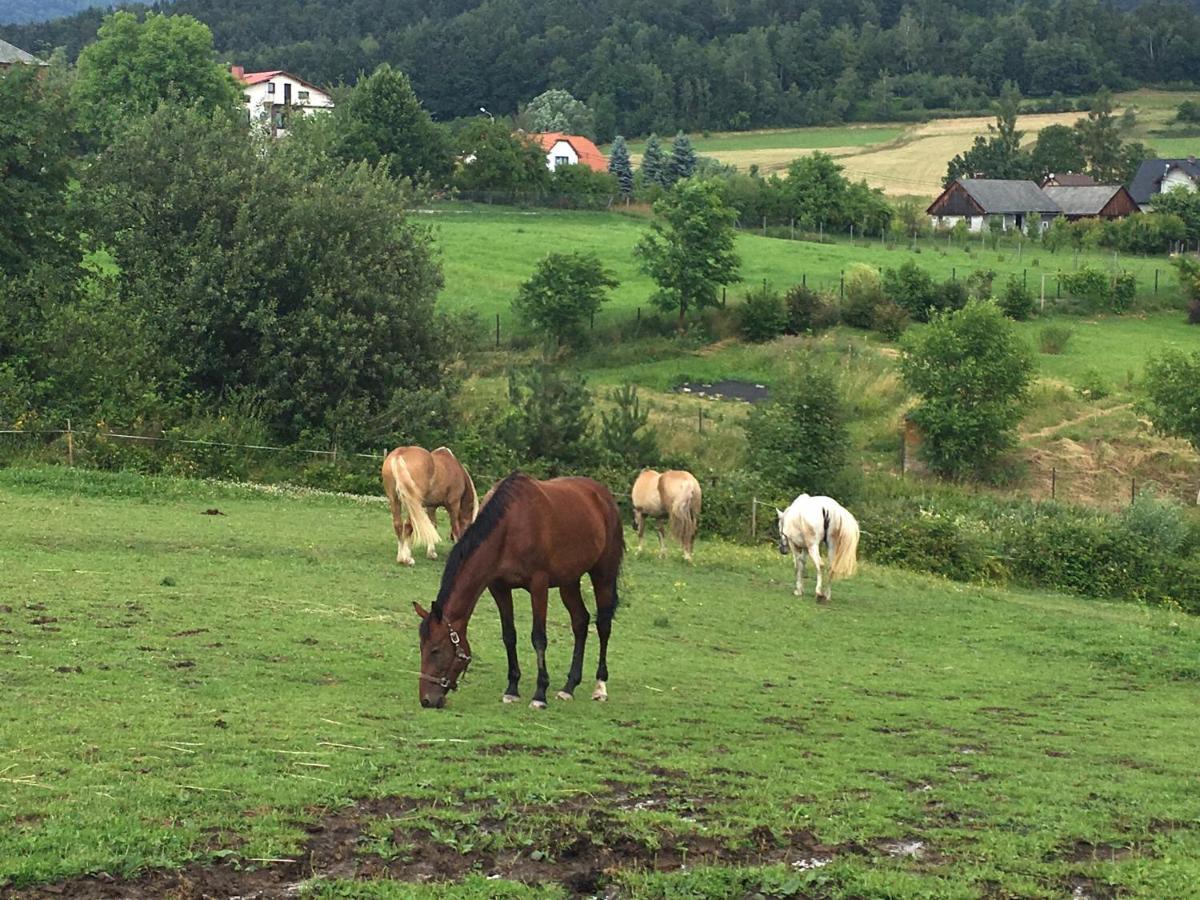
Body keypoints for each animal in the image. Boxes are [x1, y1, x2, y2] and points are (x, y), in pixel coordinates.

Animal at [412, 472, 624, 710]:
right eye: (421, 647)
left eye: (436, 650)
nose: (426, 700)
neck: (511, 525)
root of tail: (603, 495)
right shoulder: (499, 587)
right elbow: (509, 636)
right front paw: (512, 689)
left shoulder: (539, 584)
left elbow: (539, 638)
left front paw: (540, 694)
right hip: (569, 581)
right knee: (580, 621)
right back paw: (569, 687)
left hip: (603, 575)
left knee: (603, 625)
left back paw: (600, 687)